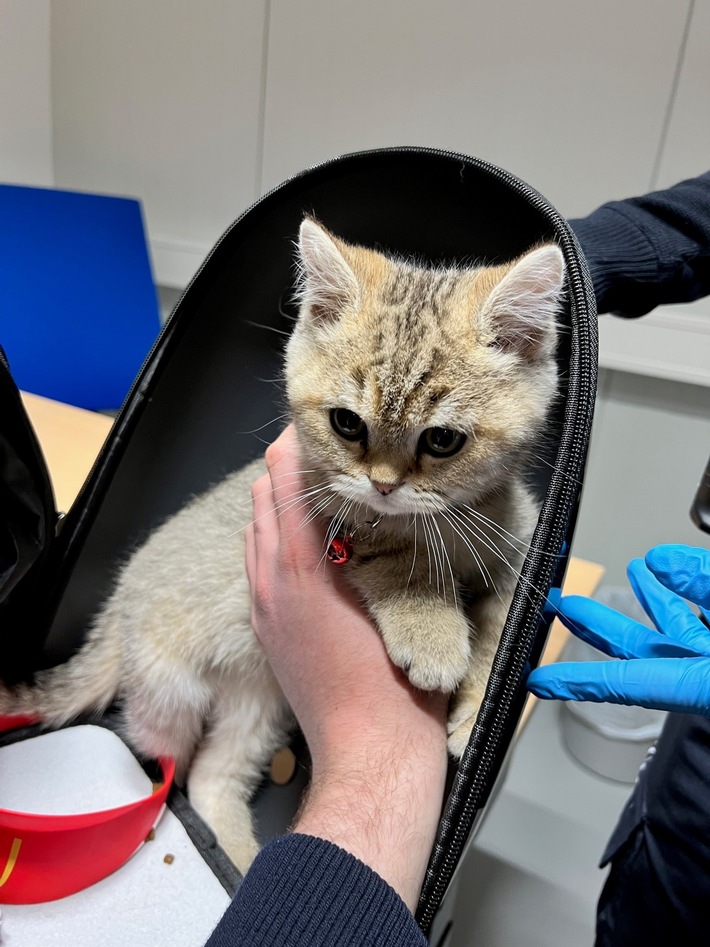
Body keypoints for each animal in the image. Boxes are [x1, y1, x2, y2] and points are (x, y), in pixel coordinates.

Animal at [0, 217, 568, 872]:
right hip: (174, 689)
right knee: (161, 757)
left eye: (443, 440)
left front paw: (475, 708)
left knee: (213, 776)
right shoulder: (325, 512)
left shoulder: (516, 543)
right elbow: (397, 562)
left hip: (260, 700)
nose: (383, 484)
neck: (443, 521)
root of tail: (118, 606)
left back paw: (240, 862)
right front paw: (433, 630)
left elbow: (503, 623)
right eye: (348, 424)